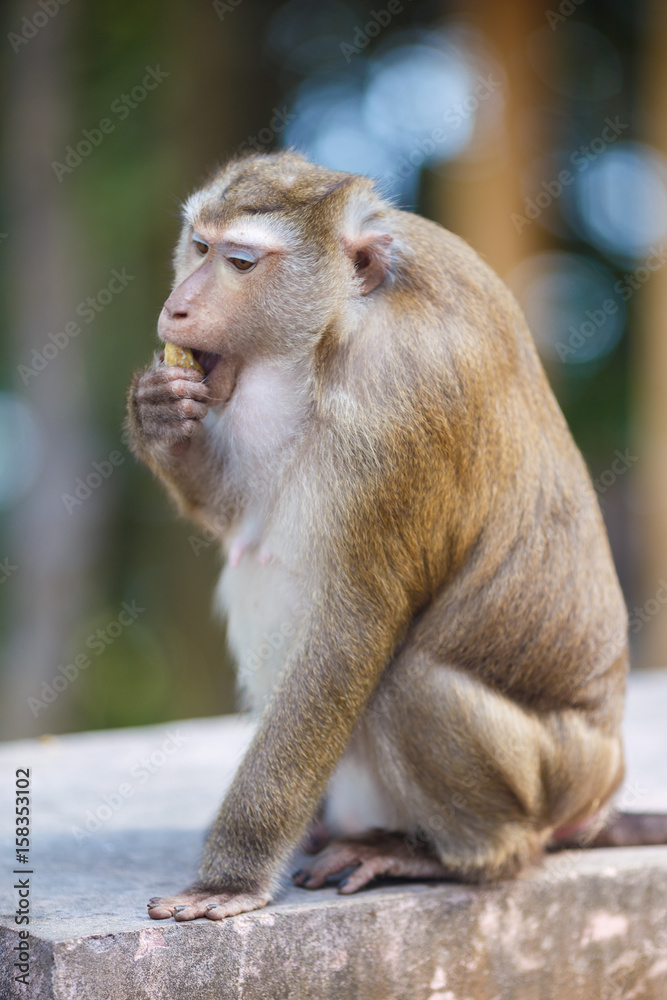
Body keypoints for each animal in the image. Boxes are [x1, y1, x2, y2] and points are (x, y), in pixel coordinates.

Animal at [125, 150, 667, 922]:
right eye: (198, 247)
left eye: (240, 262)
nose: (177, 306)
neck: (333, 334)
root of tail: (600, 795)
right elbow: (237, 514)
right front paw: (159, 414)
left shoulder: (399, 405)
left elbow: (353, 628)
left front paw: (229, 878)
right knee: (255, 562)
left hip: (551, 779)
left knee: (410, 683)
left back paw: (446, 855)